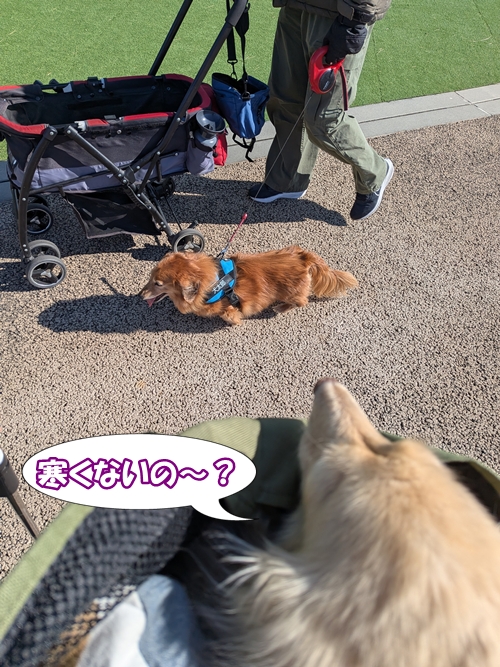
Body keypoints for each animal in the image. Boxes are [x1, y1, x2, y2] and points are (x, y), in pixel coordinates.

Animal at [139, 246, 358, 325]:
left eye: (158, 284)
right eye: (150, 277)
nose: (140, 295)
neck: (212, 282)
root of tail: (303, 257)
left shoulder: (227, 308)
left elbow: (230, 315)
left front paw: (233, 322)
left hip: (292, 294)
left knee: (301, 302)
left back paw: (281, 307)